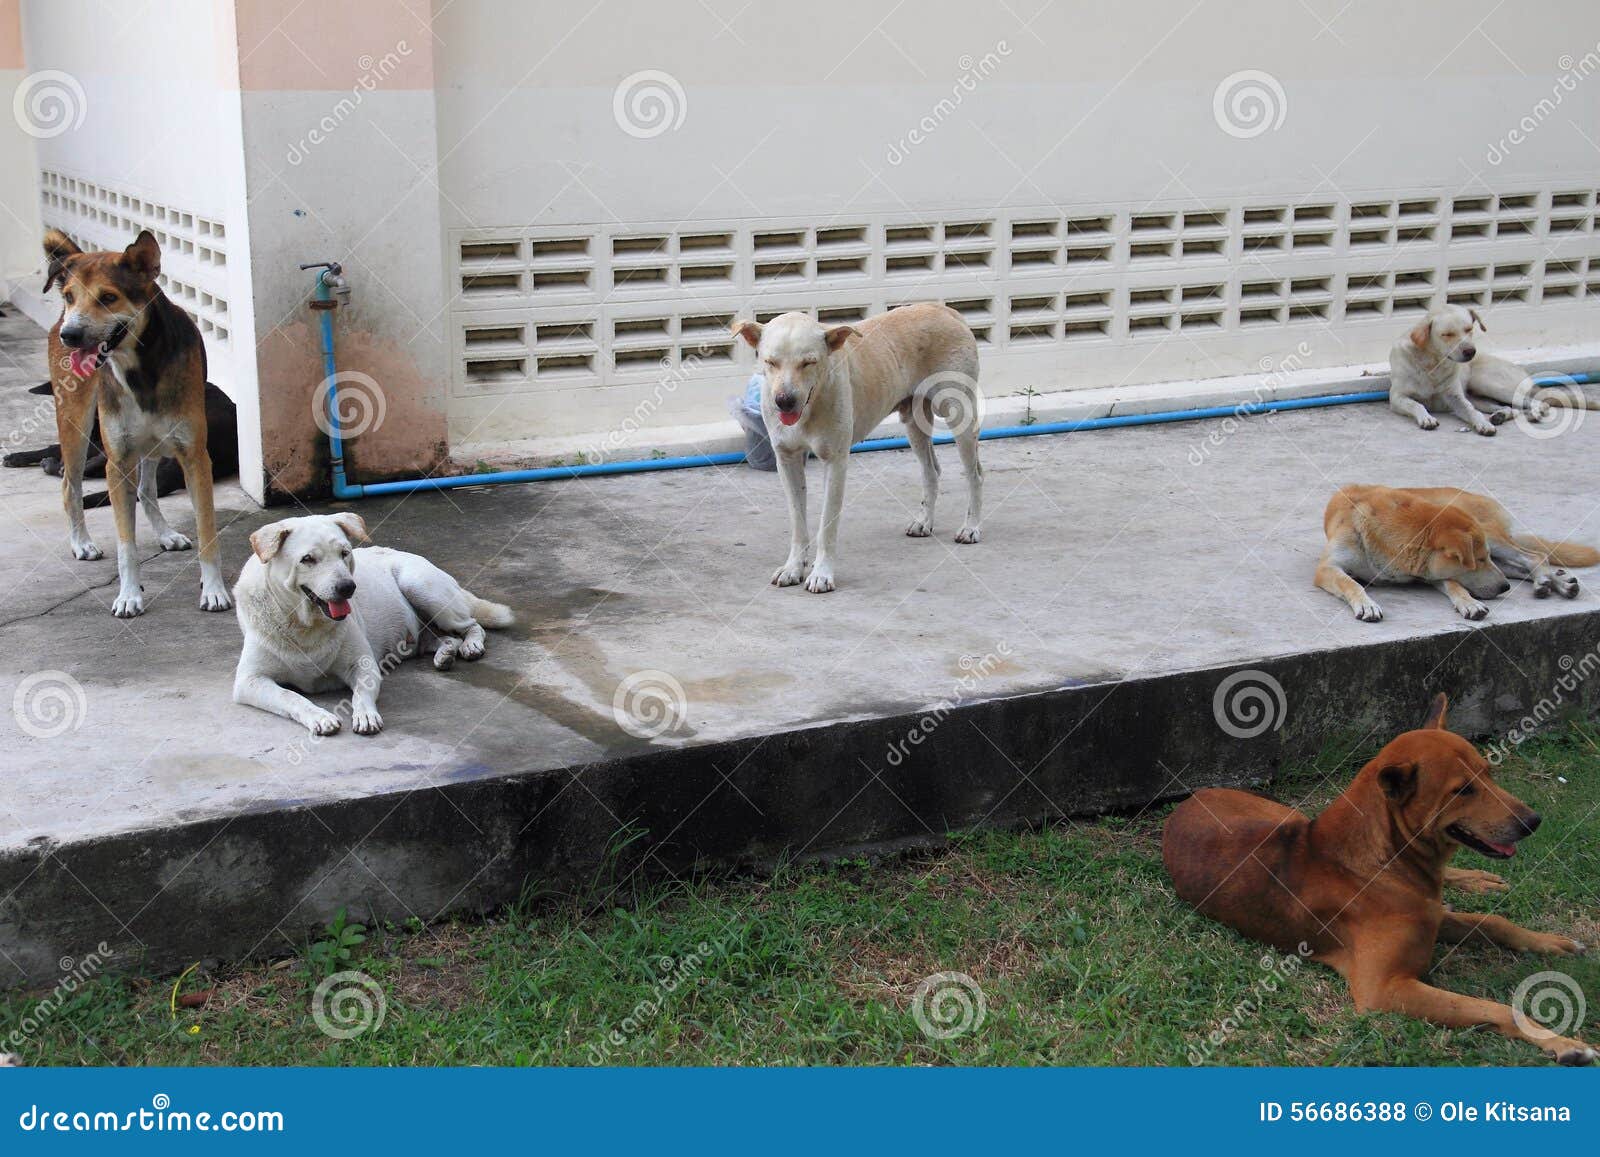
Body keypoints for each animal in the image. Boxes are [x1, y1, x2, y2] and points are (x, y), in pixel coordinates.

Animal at [40, 230, 232, 620]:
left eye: (109, 297)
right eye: (70, 296)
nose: (71, 334)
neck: (141, 367)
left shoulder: (194, 457)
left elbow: (207, 532)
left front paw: (214, 590)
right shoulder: (116, 462)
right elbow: (125, 545)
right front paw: (128, 595)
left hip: (154, 445)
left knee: (145, 489)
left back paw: (165, 534)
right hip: (76, 426)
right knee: (70, 485)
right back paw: (82, 543)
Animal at [232, 512, 512, 736]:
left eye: (344, 553)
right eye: (308, 559)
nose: (348, 587)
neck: (305, 625)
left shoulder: (363, 664)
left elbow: (361, 693)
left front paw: (365, 714)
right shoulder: (249, 681)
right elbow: (290, 696)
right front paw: (319, 717)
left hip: (421, 587)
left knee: (472, 625)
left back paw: (471, 645)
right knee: (444, 638)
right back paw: (445, 654)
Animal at [732, 305, 979, 598]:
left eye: (809, 362)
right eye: (771, 362)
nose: (784, 401)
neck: (812, 402)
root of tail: (946, 310)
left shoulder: (835, 463)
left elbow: (828, 524)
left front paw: (822, 574)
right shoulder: (787, 460)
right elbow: (797, 521)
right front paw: (793, 567)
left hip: (959, 415)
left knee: (975, 474)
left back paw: (971, 527)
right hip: (914, 421)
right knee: (931, 471)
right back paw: (924, 522)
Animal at [1318, 483, 1593, 624]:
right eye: (1478, 560)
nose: (1504, 589)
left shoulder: (1432, 571)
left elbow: (1455, 585)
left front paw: (1469, 603)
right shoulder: (1327, 568)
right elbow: (1351, 583)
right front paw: (1366, 604)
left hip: (1493, 539)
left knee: (1534, 555)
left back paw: (1550, 580)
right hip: (1499, 558)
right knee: (1520, 566)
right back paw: (1555, 582)